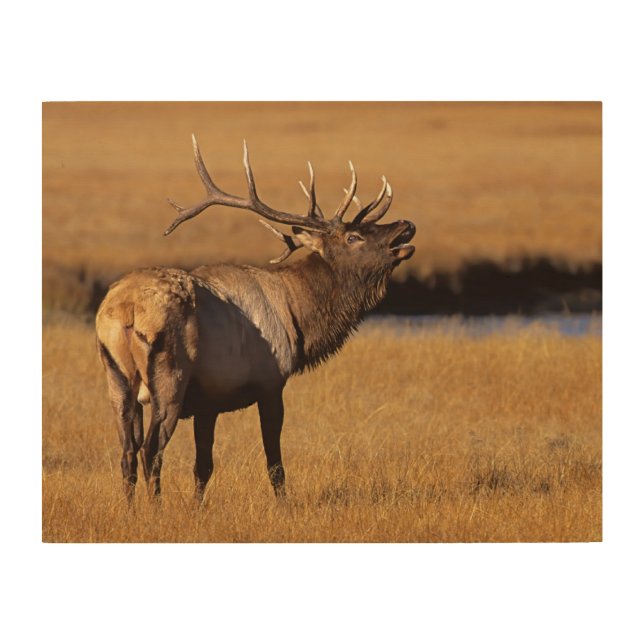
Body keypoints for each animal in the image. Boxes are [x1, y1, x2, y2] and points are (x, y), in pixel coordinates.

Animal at [95, 136, 416, 504]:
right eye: (353, 236)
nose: (406, 225)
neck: (298, 316)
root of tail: (125, 311)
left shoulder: (208, 401)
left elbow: (203, 467)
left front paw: (196, 508)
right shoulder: (270, 382)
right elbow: (274, 462)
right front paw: (284, 506)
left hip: (116, 379)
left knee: (127, 454)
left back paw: (131, 509)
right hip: (169, 376)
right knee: (151, 451)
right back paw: (156, 509)